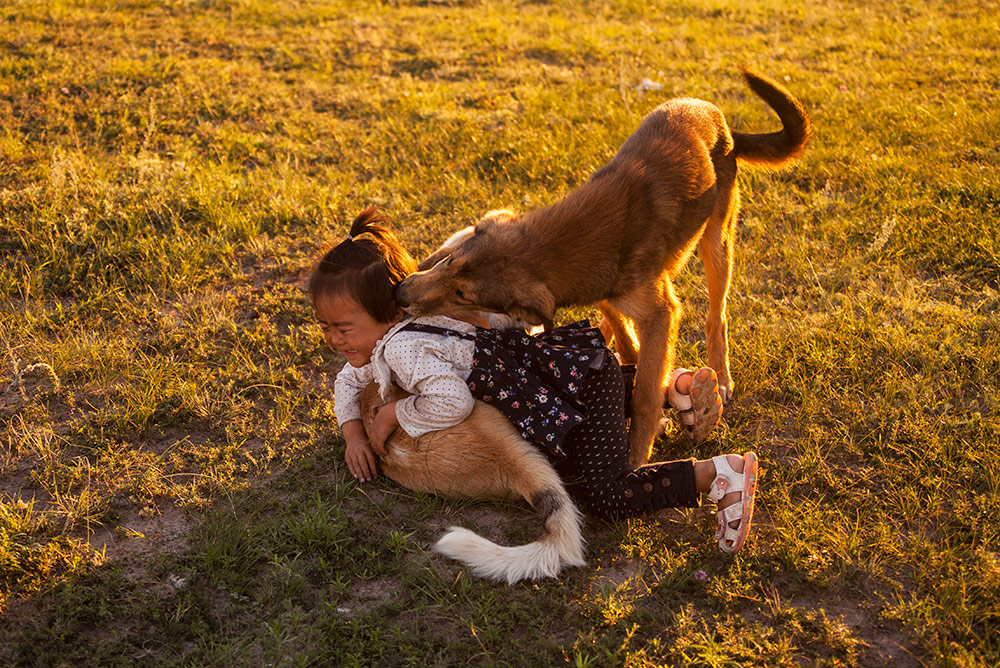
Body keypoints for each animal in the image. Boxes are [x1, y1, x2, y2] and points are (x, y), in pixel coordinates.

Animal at [394, 68, 808, 464]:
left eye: (463, 294)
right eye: (450, 260)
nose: (400, 292)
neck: (563, 242)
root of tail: (716, 116)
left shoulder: (660, 312)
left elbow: (645, 392)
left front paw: (638, 452)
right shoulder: (609, 291)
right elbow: (624, 336)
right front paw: (629, 359)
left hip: (717, 243)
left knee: (716, 315)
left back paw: (720, 377)